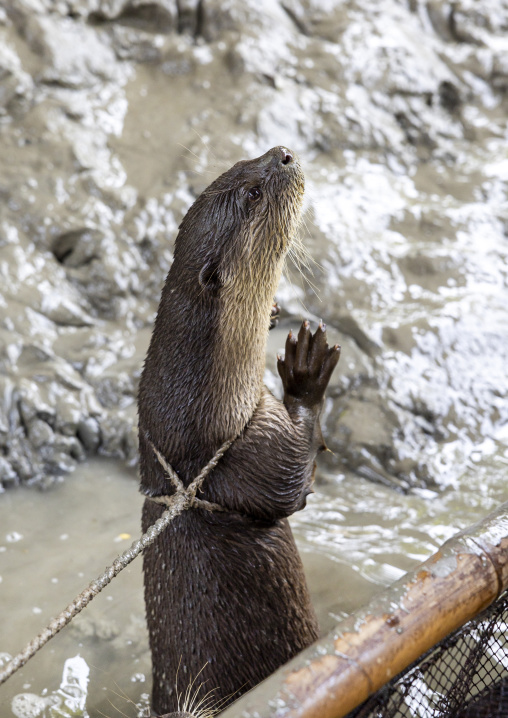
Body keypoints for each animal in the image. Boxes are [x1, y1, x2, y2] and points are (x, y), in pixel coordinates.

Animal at [138, 146, 340, 715]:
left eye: (244, 162)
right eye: (252, 194)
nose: (284, 153)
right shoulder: (249, 445)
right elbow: (291, 480)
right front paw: (305, 372)